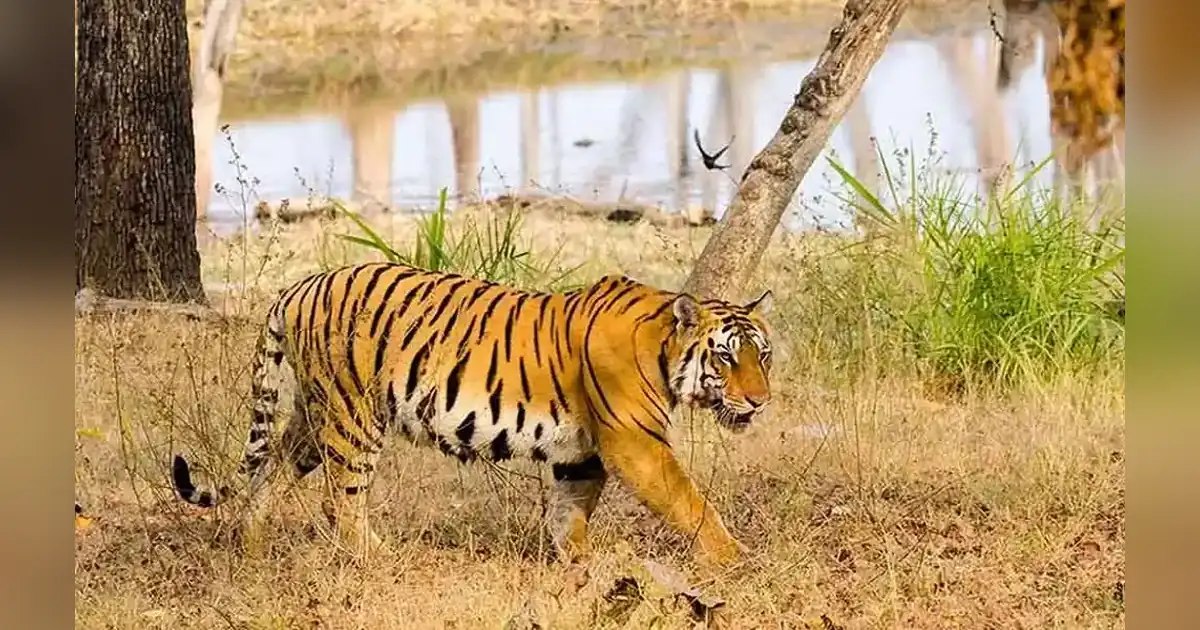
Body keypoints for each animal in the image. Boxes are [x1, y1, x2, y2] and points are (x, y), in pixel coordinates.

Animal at [170, 262, 774, 566]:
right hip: (351, 415)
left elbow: (570, 510)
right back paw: (378, 559)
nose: (760, 401)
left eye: (762, 355)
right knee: (339, 499)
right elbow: (691, 502)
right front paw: (734, 558)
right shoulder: (634, 443)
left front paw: (577, 564)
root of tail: (299, 286)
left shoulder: (580, 453)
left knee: (268, 471)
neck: (662, 348)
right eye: (726, 356)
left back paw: (252, 547)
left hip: (312, 418)